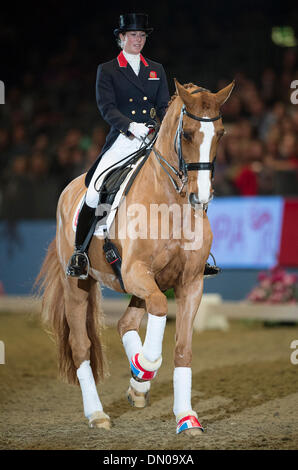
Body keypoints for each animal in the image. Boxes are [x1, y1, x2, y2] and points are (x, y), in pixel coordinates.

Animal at [36, 79, 234, 436]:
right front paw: (145, 365)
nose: (201, 197)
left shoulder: (190, 283)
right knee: (81, 346)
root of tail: (69, 189)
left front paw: (186, 418)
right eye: (187, 135)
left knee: (126, 322)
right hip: (78, 285)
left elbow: (182, 350)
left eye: (221, 134)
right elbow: (160, 311)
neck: (170, 203)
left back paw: (138, 386)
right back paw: (98, 413)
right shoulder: (135, 273)